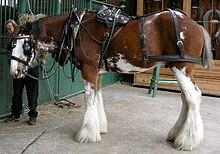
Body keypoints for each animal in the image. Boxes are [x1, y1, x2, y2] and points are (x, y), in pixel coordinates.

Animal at [9, 6, 213, 151]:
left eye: (25, 45)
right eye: (11, 44)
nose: (14, 71)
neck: (76, 30)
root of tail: (197, 25)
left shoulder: (89, 69)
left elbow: (89, 99)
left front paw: (87, 134)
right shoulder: (97, 72)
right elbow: (97, 97)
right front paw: (99, 128)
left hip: (182, 68)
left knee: (193, 97)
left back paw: (187, 141)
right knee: (186, 99)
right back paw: (176, 134)